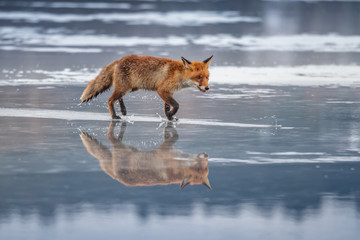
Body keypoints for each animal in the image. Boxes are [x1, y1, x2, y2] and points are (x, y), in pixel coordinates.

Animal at [79, 122, 211, 189]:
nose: (206, 154)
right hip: (119, 146)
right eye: (197, 168)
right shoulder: (162, 150)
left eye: (205, 168)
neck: (177, 164)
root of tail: (116, 177)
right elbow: (175, 136)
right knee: (110, 136)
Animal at [80, 54, 212, 120]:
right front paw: (170, 115)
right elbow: (176, 105)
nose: (207, 88)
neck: (178, 74)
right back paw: (114, 116)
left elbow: (167, 107)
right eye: (198, 77)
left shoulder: (169, 92)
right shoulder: (162, 90)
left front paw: (169, 117)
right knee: (110, 100)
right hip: (124, 88)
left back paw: (123, 110)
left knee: (117, 97)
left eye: (207, 77)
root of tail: (120, 59)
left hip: (131, 88)